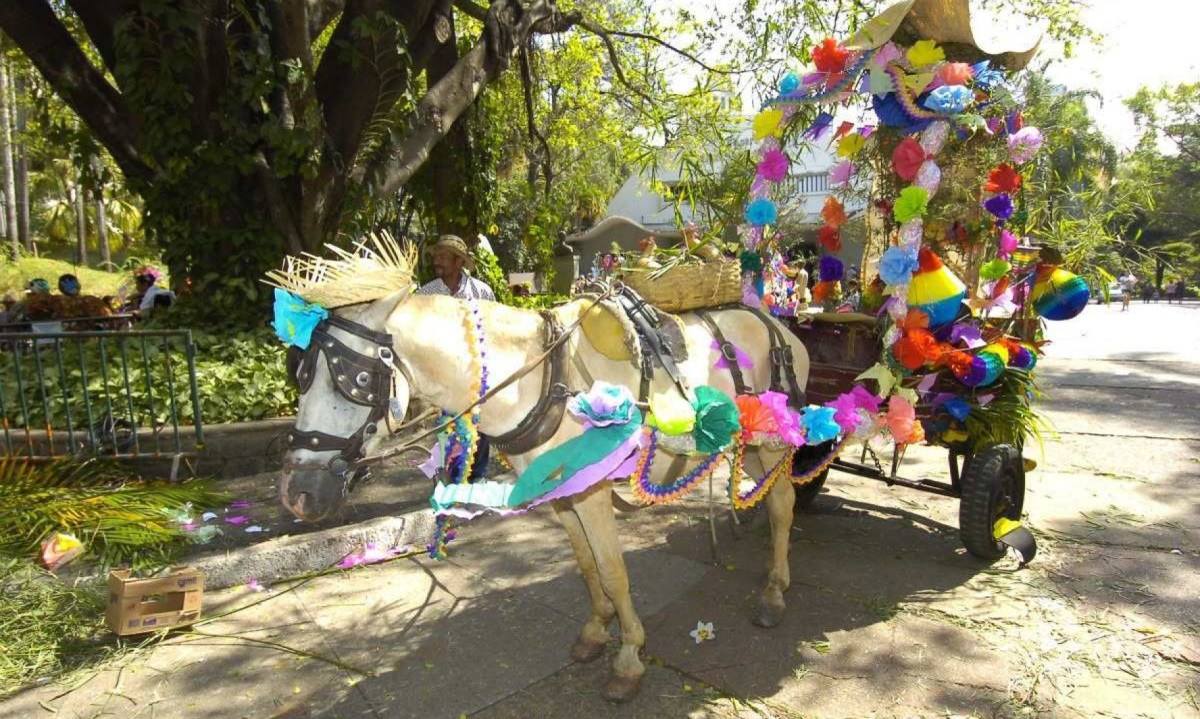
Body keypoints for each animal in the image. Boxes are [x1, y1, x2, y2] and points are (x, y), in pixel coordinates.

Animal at [277, 289, 811, 700]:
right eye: (299, 375)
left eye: (358, 381)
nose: (297, 493)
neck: (541, 380)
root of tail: (779, 325)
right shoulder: (561, 493)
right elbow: (587, 566)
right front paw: (596, 631)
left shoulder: (592, 492)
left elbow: (614, 573)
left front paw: (628, 658)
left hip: (773, 442)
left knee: (783, 508)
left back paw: (774, 592)